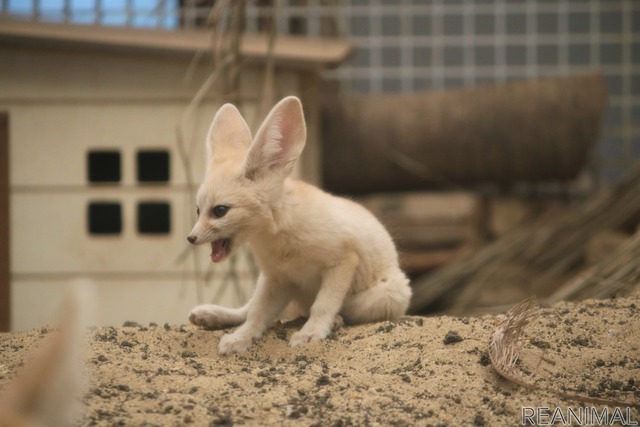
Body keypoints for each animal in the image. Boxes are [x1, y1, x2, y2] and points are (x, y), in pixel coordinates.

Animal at [188, 96, 412, 354]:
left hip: (389, 294)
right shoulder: (276, 278)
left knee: (340, 309)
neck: (280, 238)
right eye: (198, 210)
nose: (190, 238)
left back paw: (334, 320)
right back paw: (212, 315)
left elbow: (323, 304)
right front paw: (241, 337)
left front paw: (311, 332)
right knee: (247, 309)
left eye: (219, 211)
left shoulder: (343, 261)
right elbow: (256, 314)